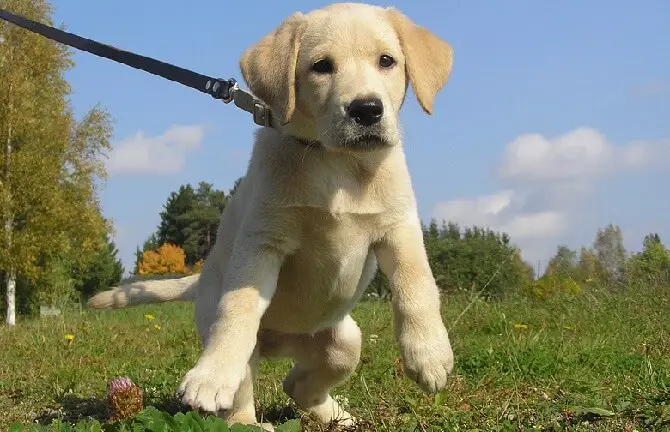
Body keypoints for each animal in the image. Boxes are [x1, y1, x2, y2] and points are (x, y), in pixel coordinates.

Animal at [89, 2, 456, 428]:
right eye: (321, 66)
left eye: (387, 61)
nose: (366, 109)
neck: (335, 162)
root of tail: (284, 343)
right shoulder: (263, 241)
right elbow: (238, 308)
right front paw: (210, 375)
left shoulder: (399, 228)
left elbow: (418, 286)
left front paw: (429, 354)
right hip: (242, 341)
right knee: (242, 391)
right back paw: (246, 416)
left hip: (344, 342)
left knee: (297, 384)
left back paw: (335, 414)